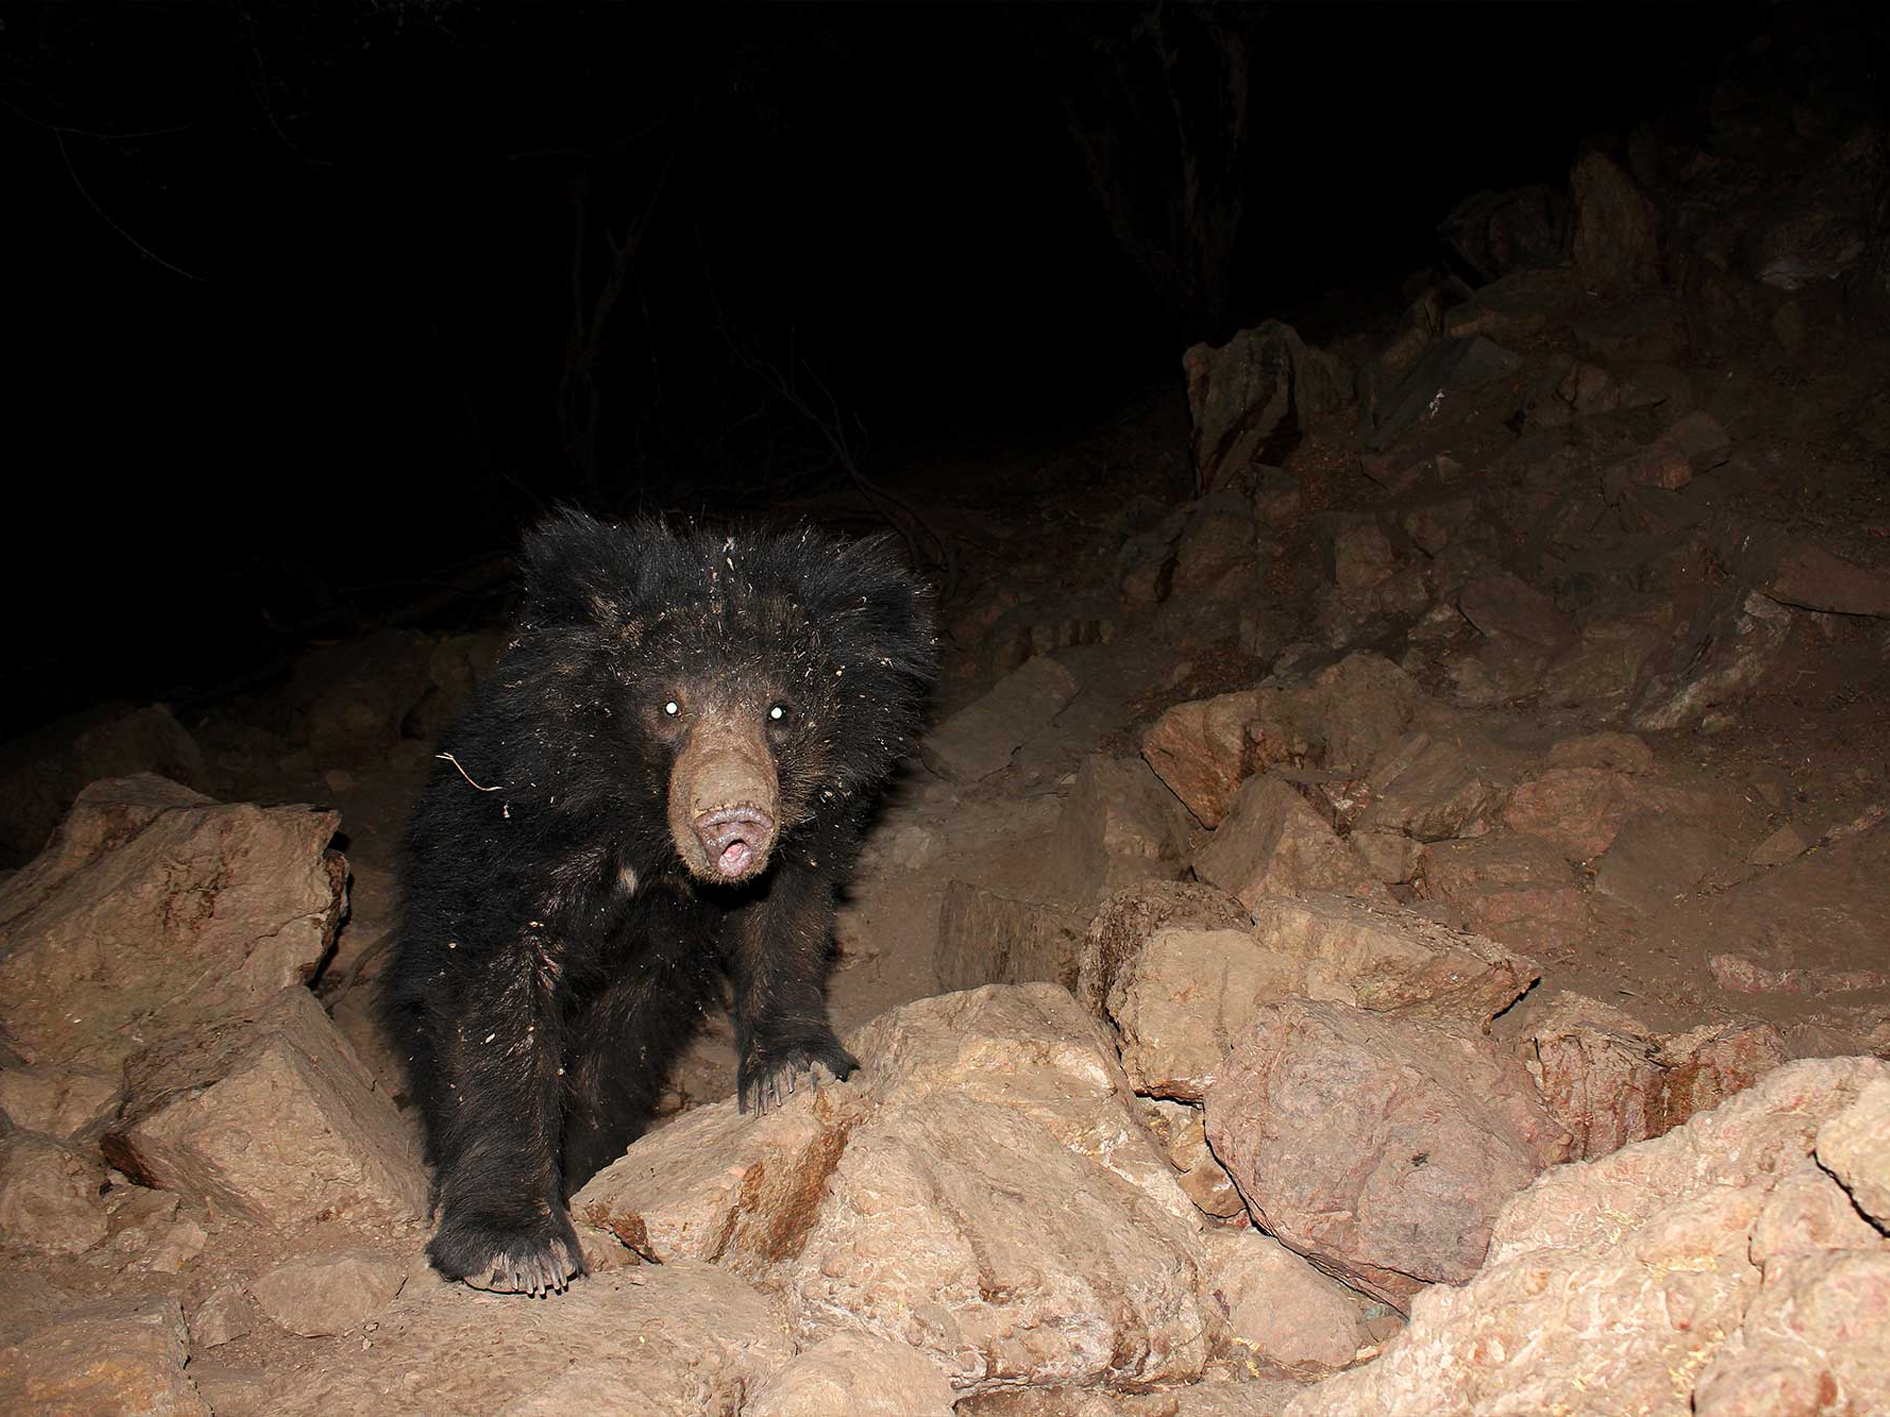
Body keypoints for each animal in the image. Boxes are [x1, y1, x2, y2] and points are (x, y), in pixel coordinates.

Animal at [387, 517, 933, 1307]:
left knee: (618, 1059)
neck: (648, 835)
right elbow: (491, 1006)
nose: (733, 821)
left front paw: (793, 1069)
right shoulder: (513, 839)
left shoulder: (799, 841)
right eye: (670, 708)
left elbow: (785, 916)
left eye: (779, 712)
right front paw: (515, 1248)